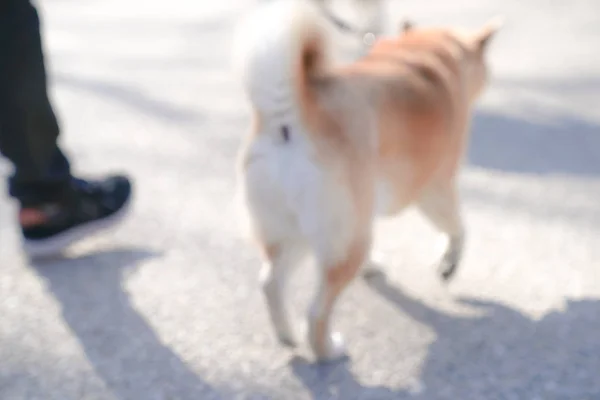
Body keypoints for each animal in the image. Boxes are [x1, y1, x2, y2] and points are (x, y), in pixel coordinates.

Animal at [234, 0, 502, 362]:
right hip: (340, 241)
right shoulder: (435, 188)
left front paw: (374, 266)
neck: (426, 52)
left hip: (293, 231)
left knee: (270, 283)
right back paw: (327, 350)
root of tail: (289, 119)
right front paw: (449, 263)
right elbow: (457, 228)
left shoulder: (368, 206)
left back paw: (288, 335)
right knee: (317, 312)